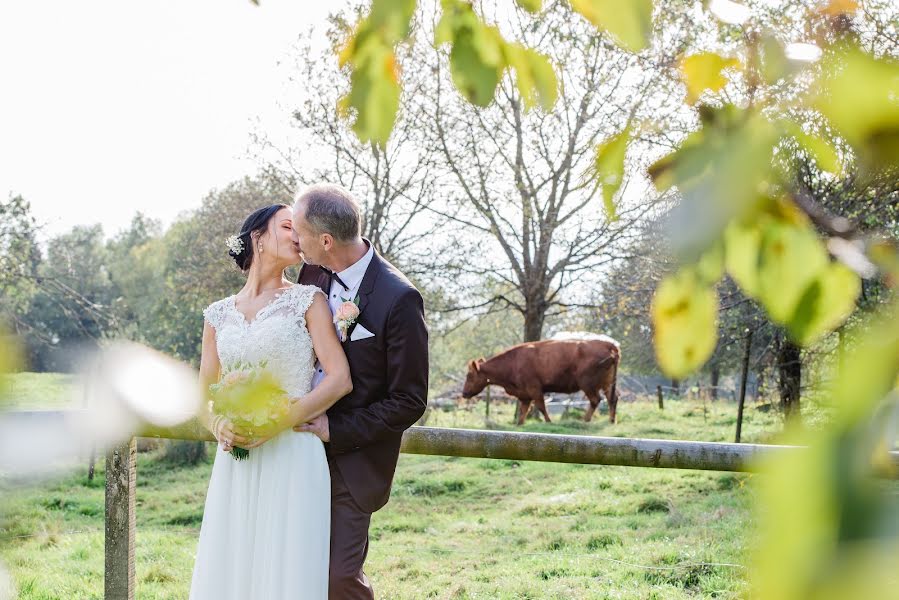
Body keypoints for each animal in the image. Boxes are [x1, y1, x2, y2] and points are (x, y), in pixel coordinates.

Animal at [460, 338, 624, 426]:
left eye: (469, 375)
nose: (464, 393)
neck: (514, 362)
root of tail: (608, 344)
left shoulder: (535, 389)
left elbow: (541, 407)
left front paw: (549, 422)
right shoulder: (524, 395)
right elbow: (523, 412)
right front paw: (519, 425)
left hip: (587, 384)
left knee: (596, 400)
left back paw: (585, 421)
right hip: (607, 384)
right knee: (612, 399)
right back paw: (611, 420)